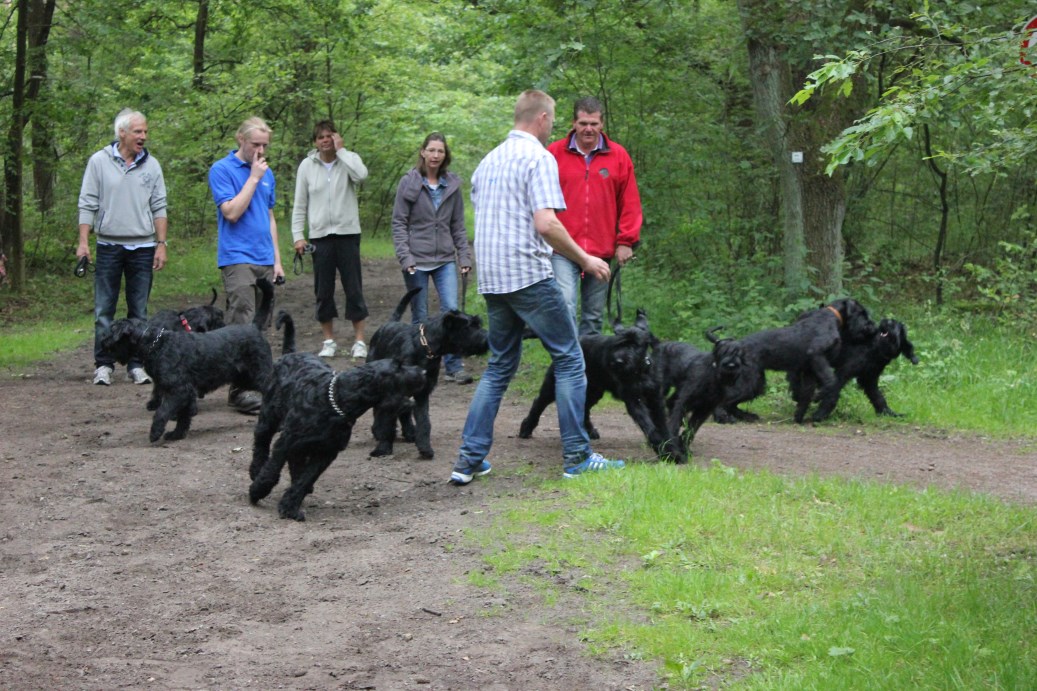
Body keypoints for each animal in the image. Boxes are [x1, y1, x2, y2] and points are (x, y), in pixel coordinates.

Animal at [248, 352, 427, 518]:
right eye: (398, 367)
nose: (423, 371)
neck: (336, 401)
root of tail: (290, 354)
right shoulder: (287, 441)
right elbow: (272, 469)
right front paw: (258, 491)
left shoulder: (327, 451)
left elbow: (306, 479)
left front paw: (290, 507)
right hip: (269, 416)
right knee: (261, 440)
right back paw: (255, 470)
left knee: (295, 461)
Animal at [365, 284, 489, 456]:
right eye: (470, 326)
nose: (488, 339)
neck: (424, 347)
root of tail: (388, 324)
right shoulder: (395, 392)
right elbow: (388, 418)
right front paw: (383, 447)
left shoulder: (422, 392)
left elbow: (424, 421)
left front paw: (425, 447)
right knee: (381, 409)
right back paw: (379, 431)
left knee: (404, 412)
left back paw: (409, 433)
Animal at [518, 309, 680, 460]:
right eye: (618, 344)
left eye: (635, 345)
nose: (618, 361)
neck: (640, 371)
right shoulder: (634, 401)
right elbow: (649, 426)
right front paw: (666, 451)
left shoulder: (655, 399)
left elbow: (663, 425)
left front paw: (672, 449)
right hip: (554, 384)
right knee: (539, 402)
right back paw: (526, 428)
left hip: (593, 391)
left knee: (583, 408)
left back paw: (589, 431)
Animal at [713, 296, 875, 423]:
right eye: (862, 313)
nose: (871, 326)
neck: (832, 317)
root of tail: (735, 347)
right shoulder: (817, 355)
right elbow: (831, 381)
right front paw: (819, 396)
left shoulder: (810, 370)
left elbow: (806, 393)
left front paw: (799, 417)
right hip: (749, 382)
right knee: (725, 401)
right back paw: (724, 417)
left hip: (756, 383)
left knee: (732, 404)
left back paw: (746, 416)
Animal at [783, 315, 916, 415]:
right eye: (890, 322)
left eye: (894, 324)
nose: (885, 320)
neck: (875, 350)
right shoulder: (843, 373)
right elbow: (832, 392)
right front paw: (820, 414)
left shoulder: (869, 380)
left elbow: (878, 397)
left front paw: (887, 413)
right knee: (794, 375)